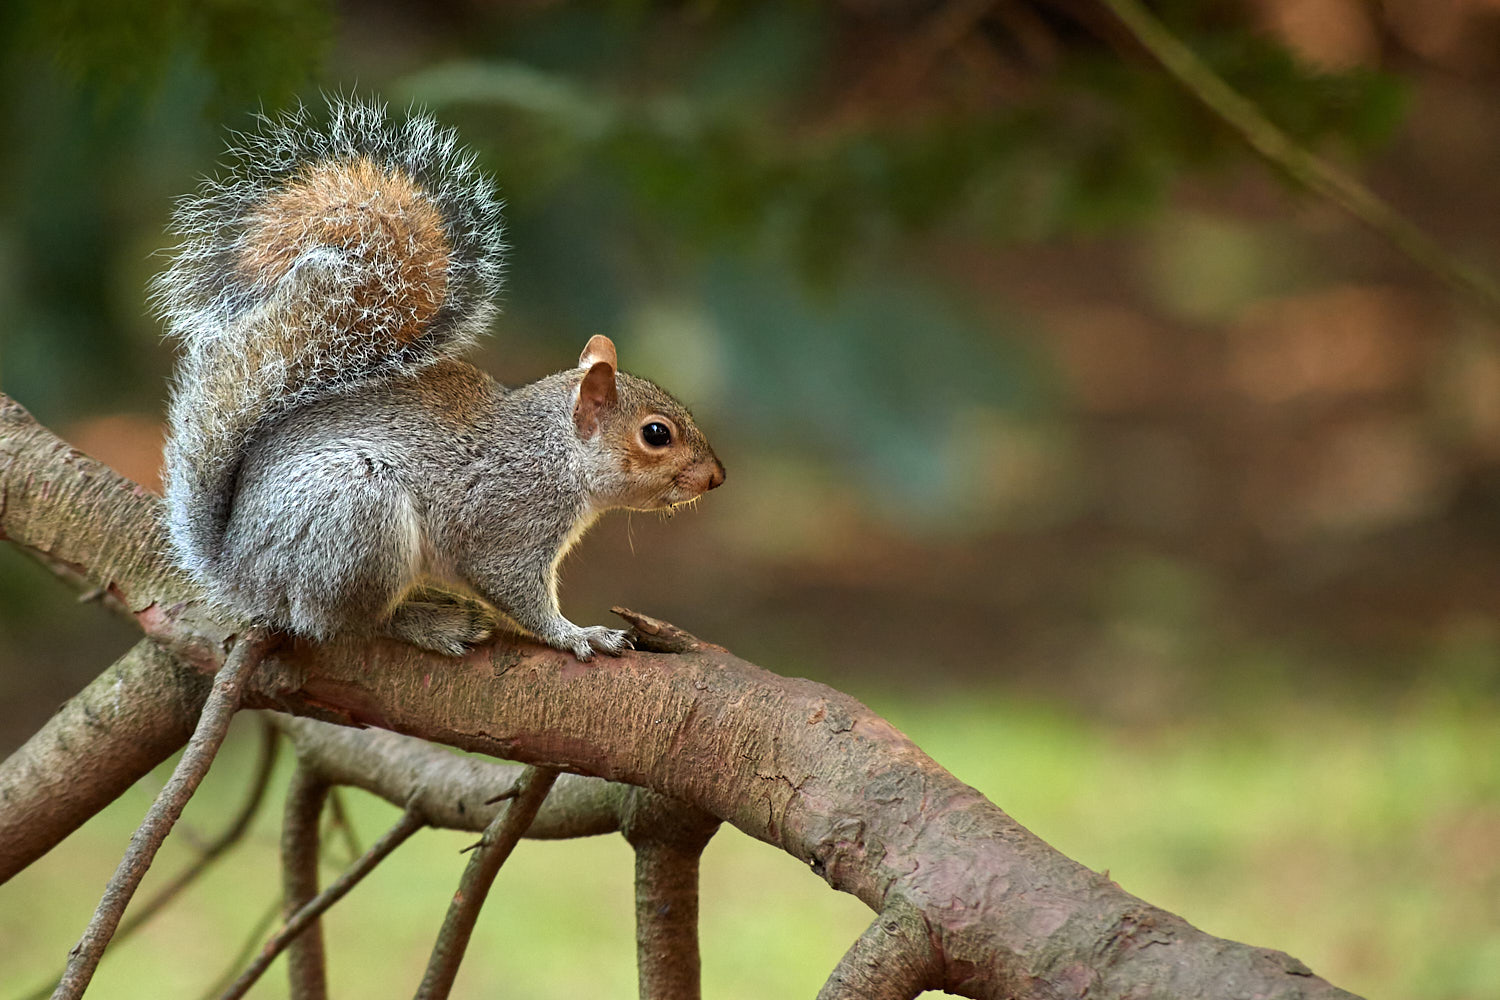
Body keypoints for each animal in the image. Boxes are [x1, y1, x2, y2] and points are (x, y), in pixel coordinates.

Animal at [154, 98, 725, 661]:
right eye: (657, 434)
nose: (716, 477)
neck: (553, 450)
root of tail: (237, 571)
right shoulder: (507, 523)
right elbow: (517, 592)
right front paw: (579, 635)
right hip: (358, 515)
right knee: (338, 621)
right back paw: (427, 621)